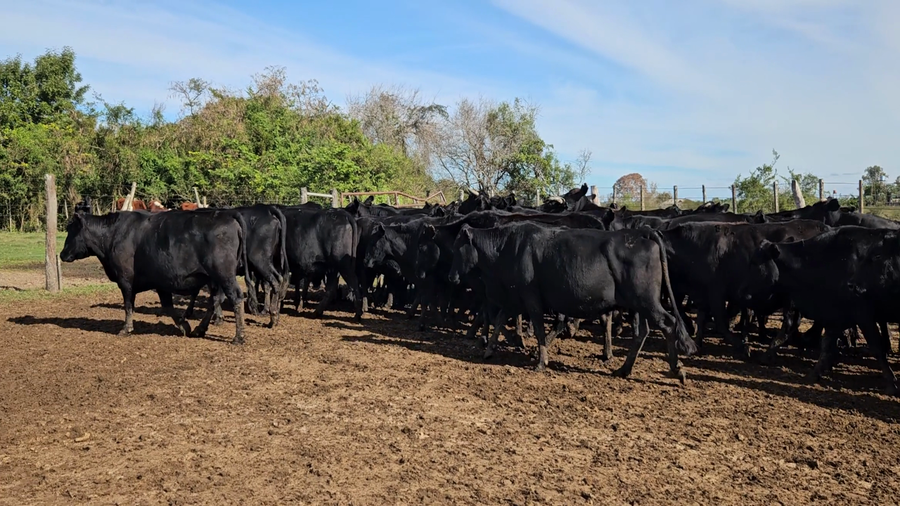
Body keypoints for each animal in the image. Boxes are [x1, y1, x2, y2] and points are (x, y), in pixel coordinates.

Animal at [59, 210, 249, 344]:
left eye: (71, 230)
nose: (62, 254)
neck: (113, 235)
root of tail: (227, 214)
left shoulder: (125, 280)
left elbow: (128, 306)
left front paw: (126, 329)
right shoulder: (161, 282)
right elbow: (168, 306)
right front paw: (184, 325)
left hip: (224, 275)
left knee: (235, 297)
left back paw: (239, 337)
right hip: (213, 279)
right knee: (215, 300)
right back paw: (199, 329)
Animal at [447, 222, 697, 381]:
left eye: (458, 247)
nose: (451, 276)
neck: (508, 247)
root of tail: (643, 233)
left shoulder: (530, 297)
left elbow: (538, 328)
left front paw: (541, 362)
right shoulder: (514, 296)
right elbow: (499, 320)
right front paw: (489, 350)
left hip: (647, 301)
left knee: (668, 324)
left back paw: (677, 370)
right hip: (638, 305)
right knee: (642, 332)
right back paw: (624, 370)